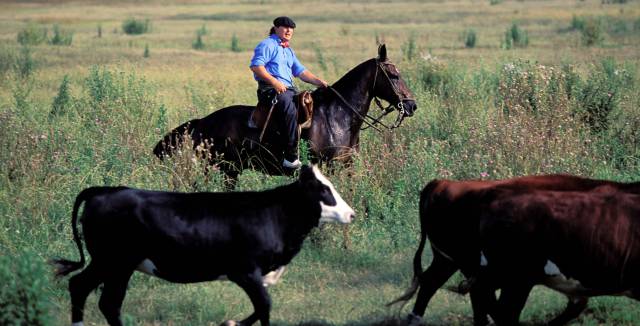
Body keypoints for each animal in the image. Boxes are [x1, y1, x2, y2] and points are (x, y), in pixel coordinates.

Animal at [51, 166, 356, 326]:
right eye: (324, 190)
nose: (351, 214)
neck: (274, 213)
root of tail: (105, 190)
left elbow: (260, 308)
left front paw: (231, 323)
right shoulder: (245, 271)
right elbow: (265, 306)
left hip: (113, 264)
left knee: (90, 293)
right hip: (114, 262)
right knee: (98, 296)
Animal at [154, 44, 416, 186]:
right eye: (394, 75)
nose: (411, 105)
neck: (338, 117)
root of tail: (202, 123)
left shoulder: (346, 166)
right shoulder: (327, 167)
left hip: (230, 171)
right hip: (218, 168)